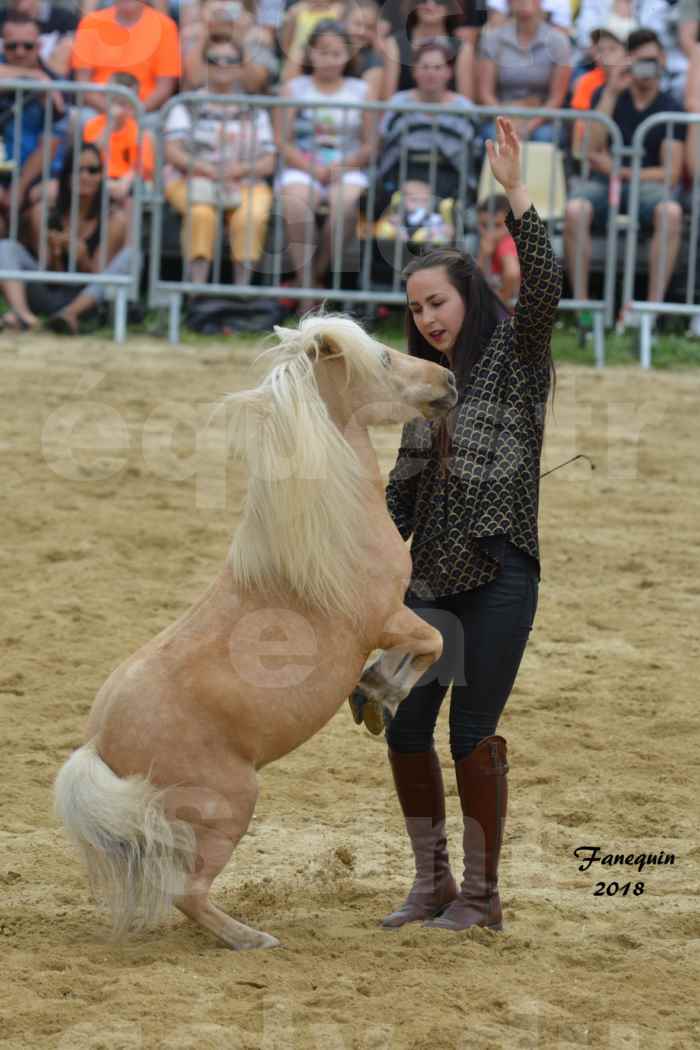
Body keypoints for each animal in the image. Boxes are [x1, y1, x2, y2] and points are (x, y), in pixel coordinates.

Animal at [56, 312, 459, 953]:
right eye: (384, 359)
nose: (447, 381)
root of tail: (99, 747)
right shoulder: (387, 617)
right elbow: (431, 644)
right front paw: (378, 694)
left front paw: (372, 695)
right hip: (232, 803)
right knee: (188, 893)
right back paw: (252, 939)